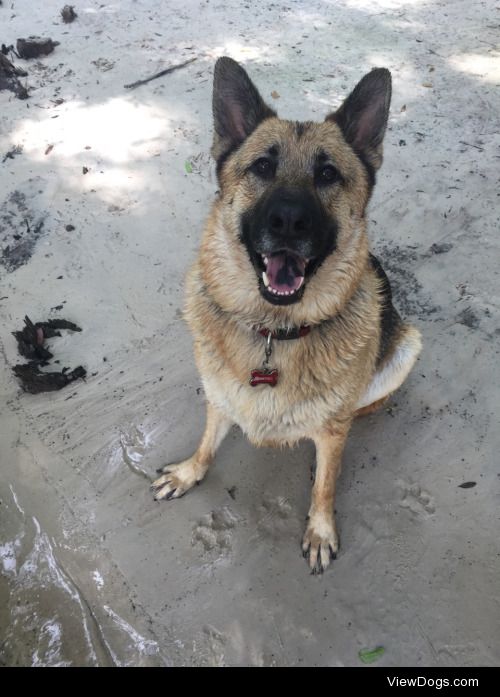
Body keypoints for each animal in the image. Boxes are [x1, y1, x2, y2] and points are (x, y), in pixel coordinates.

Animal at [152, 58, 422, 572]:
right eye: (262, 166)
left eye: (328, 173)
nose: (289, 222)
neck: (274, 333)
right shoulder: (218, 395)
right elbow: (208, 439)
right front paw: (190, 472)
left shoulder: (332, 429)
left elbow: (325, 487)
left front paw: (320, 529)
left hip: (408, 344)